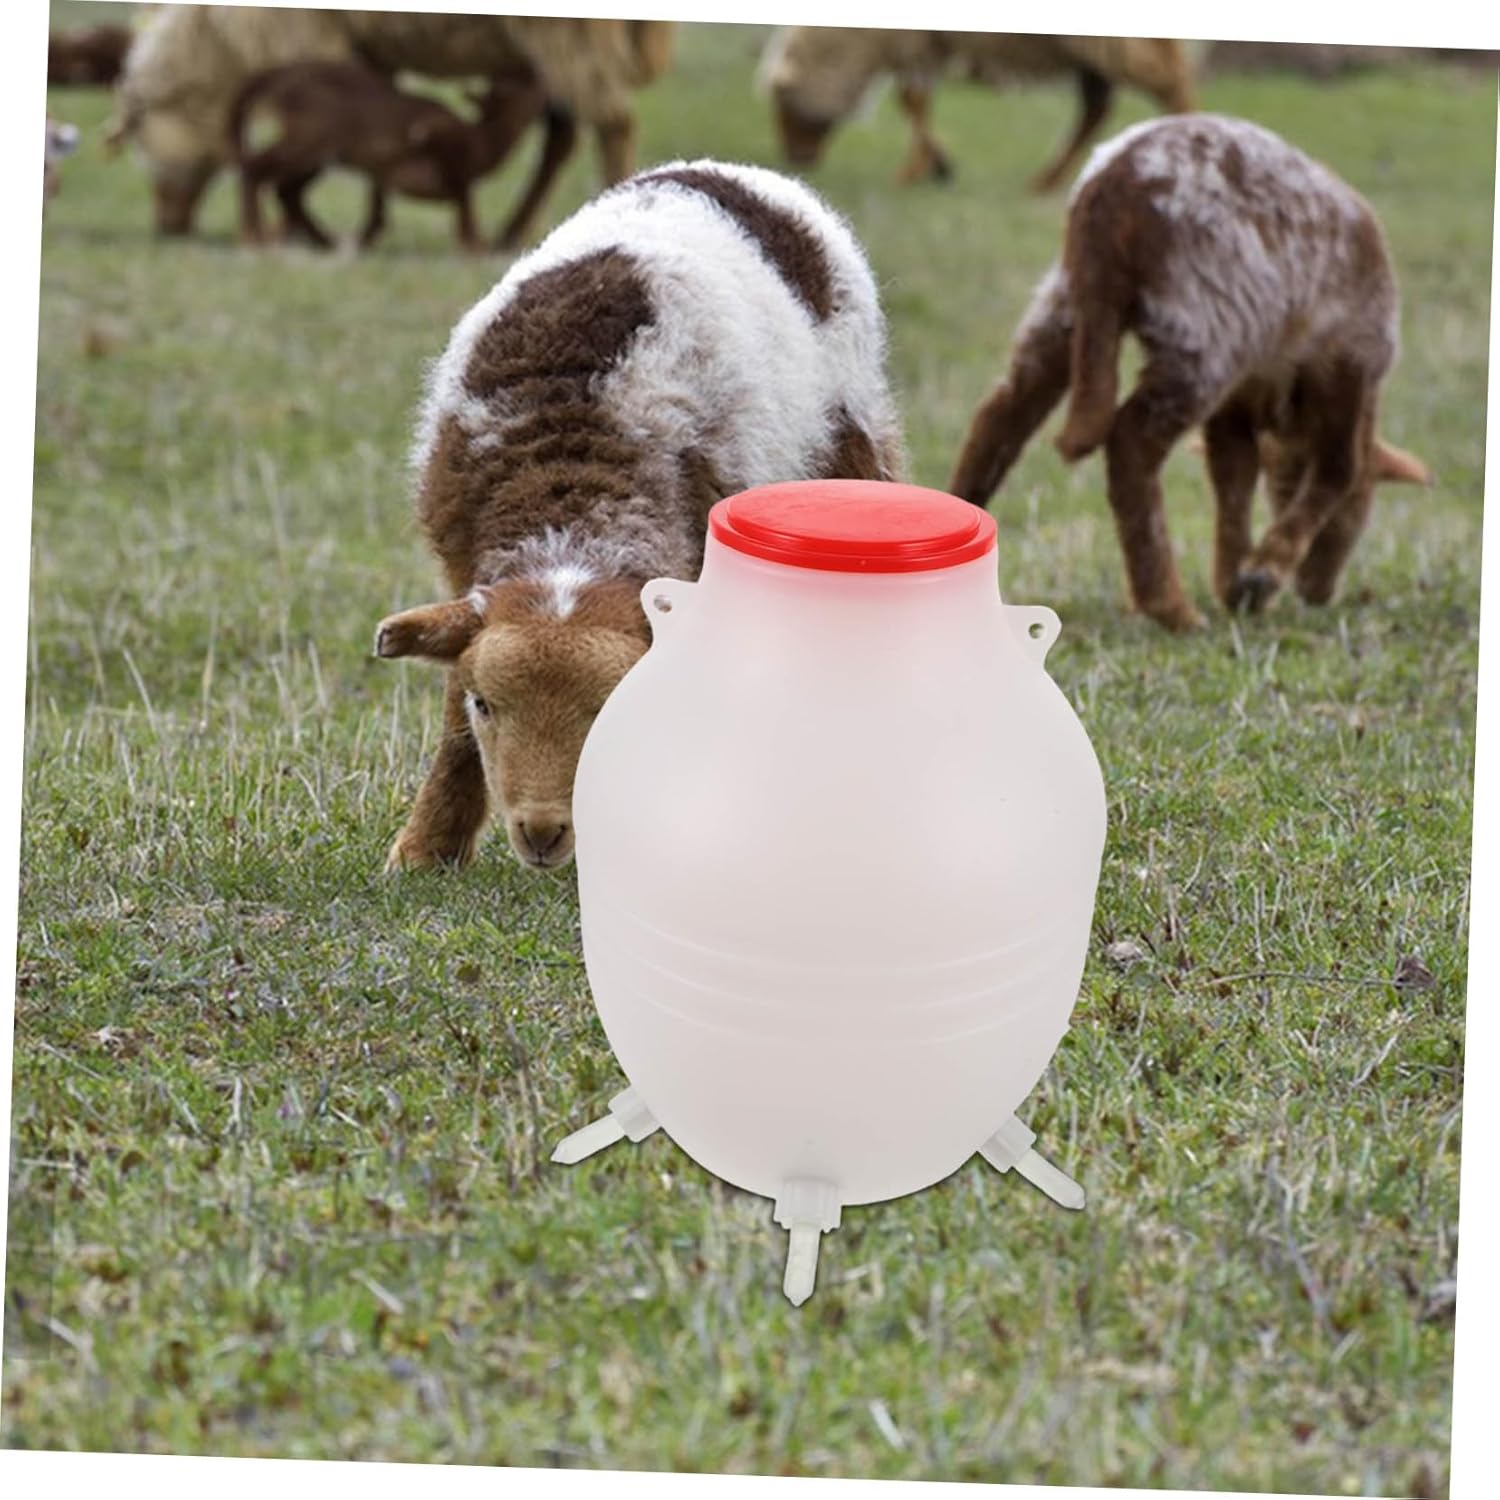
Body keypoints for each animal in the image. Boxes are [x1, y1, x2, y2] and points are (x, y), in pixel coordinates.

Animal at [230, 61, 545, 252]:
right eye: (519, 83)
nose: (536, 73)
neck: (483, 143)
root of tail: (281, 74)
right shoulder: (441, 137)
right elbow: (463, 196)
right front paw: (475, 244)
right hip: (315, 134)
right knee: (255, 168)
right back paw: (253, 236)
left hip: (320, 150)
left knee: (285, 190)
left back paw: (328, 241)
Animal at [374, 159, 904, 872]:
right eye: (487, 704)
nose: (542, 832)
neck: (570, 480)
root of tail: (728, 170)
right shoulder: (461, 561)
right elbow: (455, 715)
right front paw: (425, 849)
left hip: (853, 436)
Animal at [760, 29, 1195, 191]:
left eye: (783, 104)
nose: (795, 158)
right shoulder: (926, 43)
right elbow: (917, 101)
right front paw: (937, 165)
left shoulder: (913, 40)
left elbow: (911, 100)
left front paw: (916, 171)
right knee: (1095, 110)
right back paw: (1047, 180)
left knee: (1170, 79)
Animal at [947, 114, 1429, 633]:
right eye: (1362, 508)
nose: (1318, 591)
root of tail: (1112, 186)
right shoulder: (1351, 361)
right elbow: (1338, 468)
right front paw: (1262, 574)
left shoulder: (1239, 402)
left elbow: (1234, 477)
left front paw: (1236, 581)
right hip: (1203, 325)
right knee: (1130, 444)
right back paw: (1170, 607)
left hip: (1066, 305)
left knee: (1004, 413)